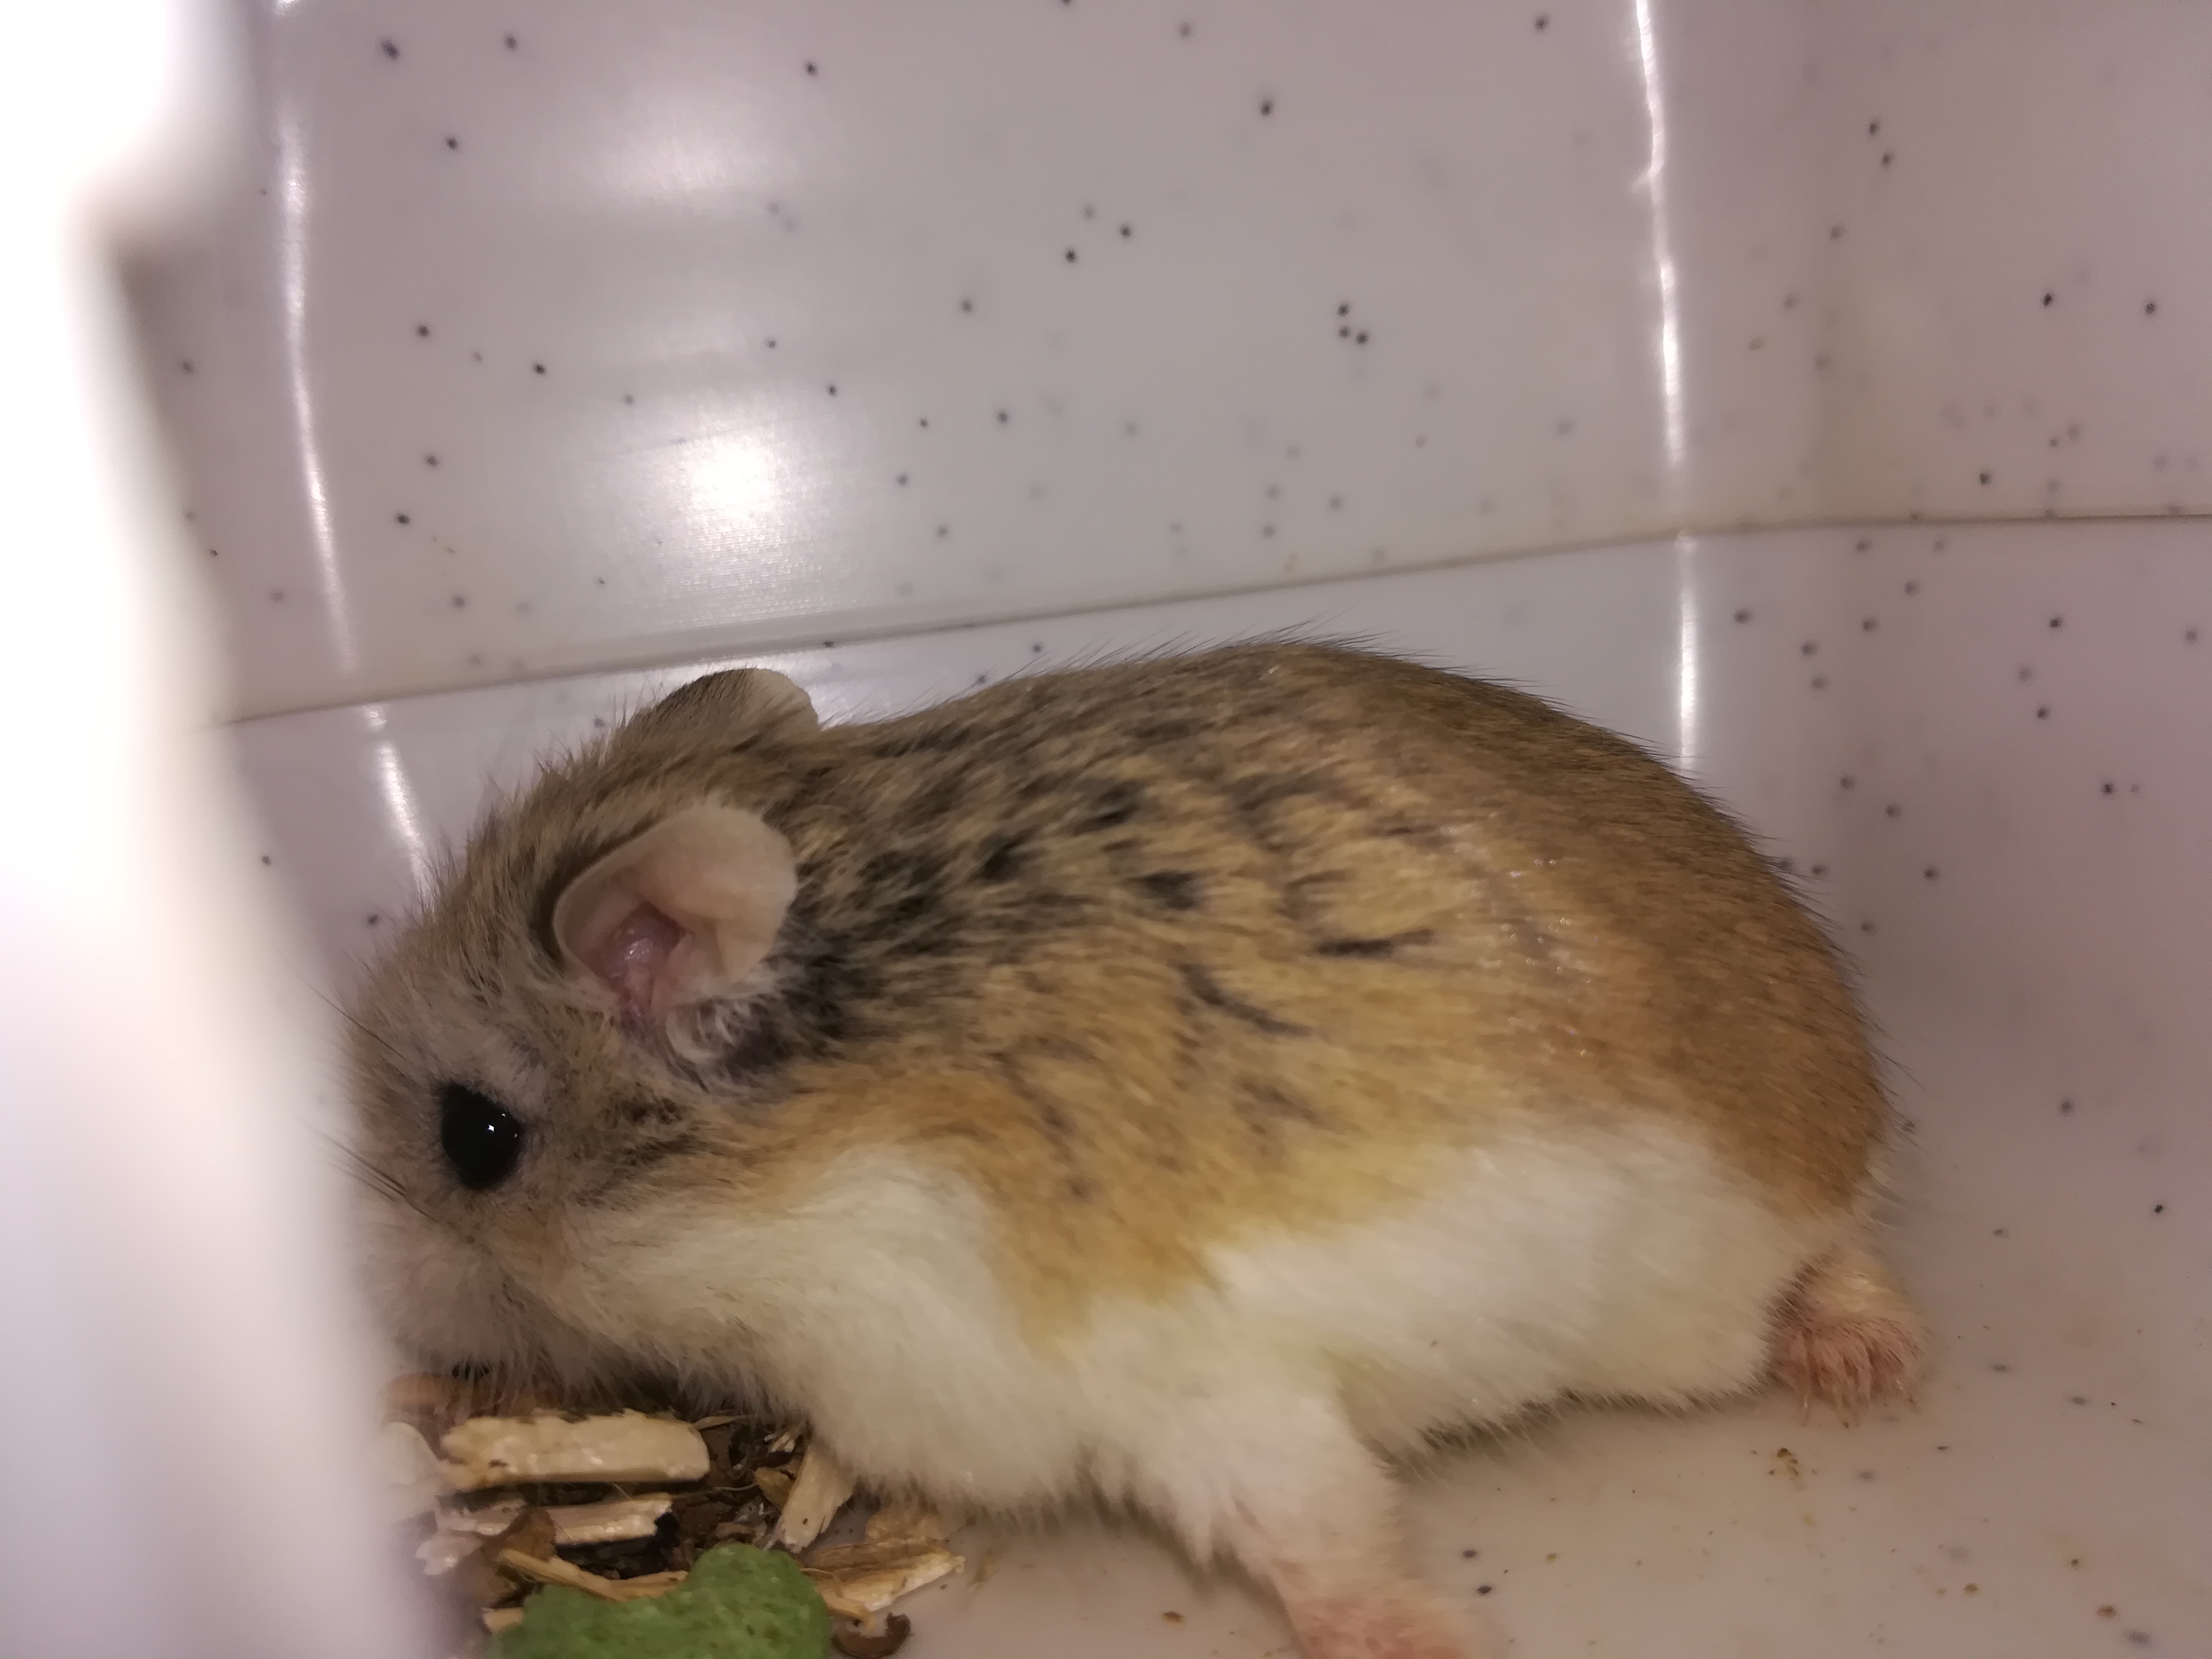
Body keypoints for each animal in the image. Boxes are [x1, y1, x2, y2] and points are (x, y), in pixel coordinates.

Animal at [349, 643, 1921, 1659]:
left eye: (474, 1136)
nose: (386, 1302)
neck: (801, 1161)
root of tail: (1843, 1079)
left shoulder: (1186, 1387)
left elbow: (1324, 1531)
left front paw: (1416, 1643)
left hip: (1718, 1265)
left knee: (1837, 1252)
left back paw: (1860, 1370)